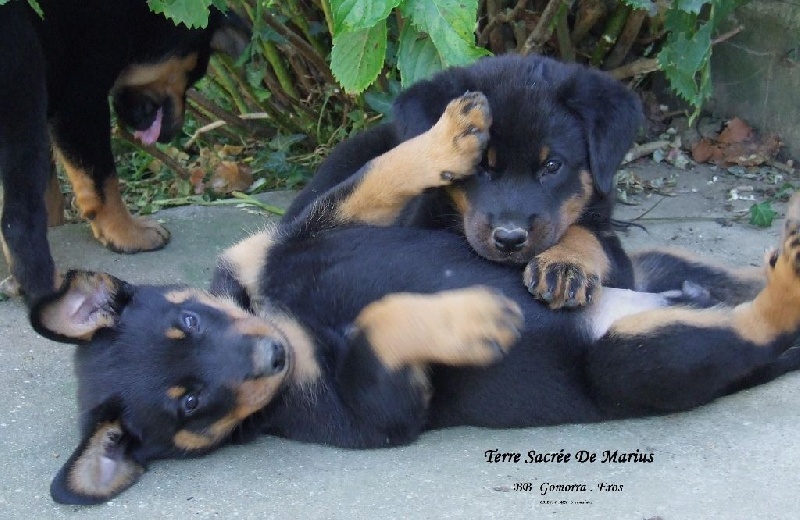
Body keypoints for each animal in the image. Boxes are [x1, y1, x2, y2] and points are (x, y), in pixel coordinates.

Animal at [0, 0, 247, 302]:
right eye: (194, 70)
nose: (173, 132)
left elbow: (51, 192)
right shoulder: (80, 101)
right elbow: (103, 183)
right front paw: (127, 234)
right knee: (18, 220)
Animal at [34, 93, 800, 504]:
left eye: (187, 318)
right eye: (189, 402)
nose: (272, 355)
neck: (270, 308)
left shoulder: (308, 233)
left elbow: (377, 173)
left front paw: (454, 132)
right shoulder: (376, 413)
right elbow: (381, 322)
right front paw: (473, 318)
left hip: (649, 268)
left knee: (725, 277)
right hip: (632, 360)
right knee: (746, 329)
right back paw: (784, 285)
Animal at [288, 54, 644, 308]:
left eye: (552, 166)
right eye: (480, 165)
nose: (510, 239)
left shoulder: (617, 257)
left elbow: (590, 235)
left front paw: (566, 263)